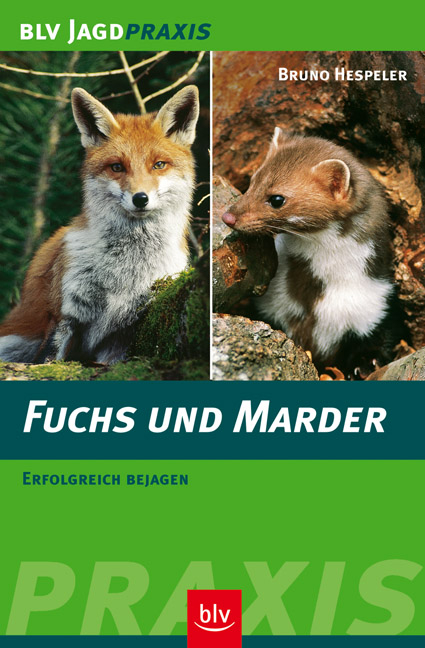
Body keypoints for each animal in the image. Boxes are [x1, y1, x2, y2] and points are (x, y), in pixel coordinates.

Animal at [0, 85, 200, 364]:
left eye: (159, 165)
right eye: (117, 167)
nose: (140, 199)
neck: (127, 268)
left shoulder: (123, 333)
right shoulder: (66, 314)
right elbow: (50, 360)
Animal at [222, 128, 406, 375]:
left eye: (277, 198)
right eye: (252, 181)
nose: (228, 216)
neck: (313, 299)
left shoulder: (376, 304)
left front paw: (366, 364)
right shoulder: (270, 306)